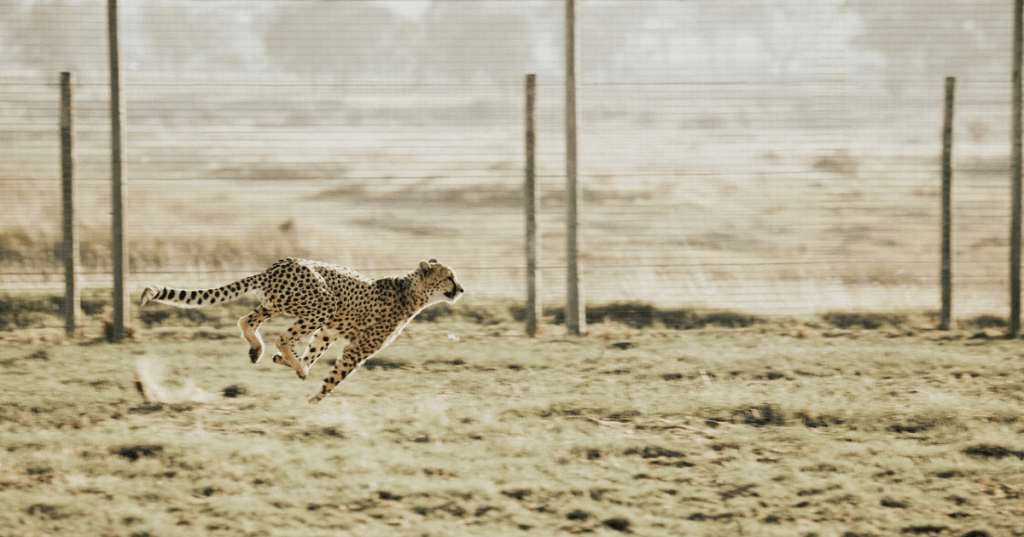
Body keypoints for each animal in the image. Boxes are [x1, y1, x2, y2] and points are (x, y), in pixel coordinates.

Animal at [139, 257, 464, 404]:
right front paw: (313, 400)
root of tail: (277, 265)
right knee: (281, 336)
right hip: (323, 303)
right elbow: (335, 376)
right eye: (449, 277)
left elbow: (315, 351)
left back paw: (260, 351)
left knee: (247, 320)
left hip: (278, 304)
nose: (461, 289)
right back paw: (289, 361)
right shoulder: (357, 348)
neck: (412, 291)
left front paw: (292, 364)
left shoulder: (329, 331)